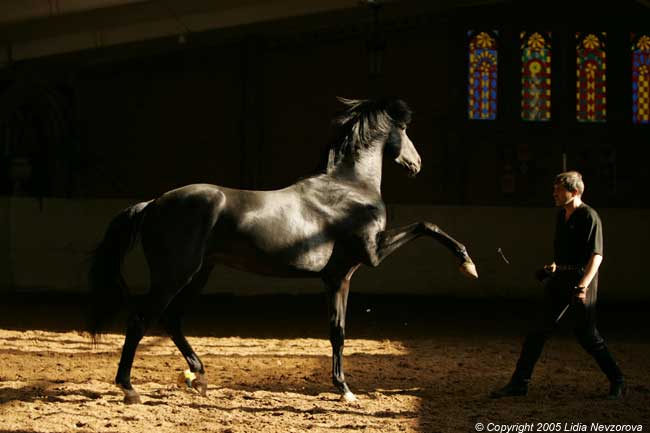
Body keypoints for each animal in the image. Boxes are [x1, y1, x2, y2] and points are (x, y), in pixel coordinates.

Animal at [88, 96, 476, 404]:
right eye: (405, 130)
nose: (417, 163)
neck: (349, 186)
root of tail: (153, 204)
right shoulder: (371, 255)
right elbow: (427, 225)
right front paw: (467, 264)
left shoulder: (339, 277)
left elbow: (337, 332)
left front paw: (344, 389)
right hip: (175, 274)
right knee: (141, 320)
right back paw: (129, 389)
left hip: (198, 274)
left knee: (171, 319)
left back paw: (198, 377)